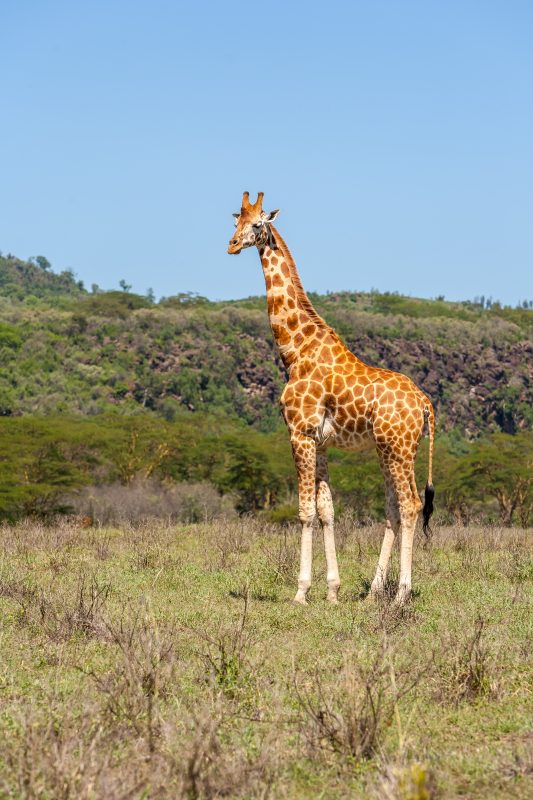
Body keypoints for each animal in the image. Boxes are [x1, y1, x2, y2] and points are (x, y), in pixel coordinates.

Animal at [227, 194, 434, 608]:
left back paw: (401, 595)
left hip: (398, 448)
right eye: (235, 220)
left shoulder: (299, 433)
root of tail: (424, 404)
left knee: (410, 505)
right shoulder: (320, 441)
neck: (294, 350)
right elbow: (327, 510)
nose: (232, 244)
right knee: (393, 507)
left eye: (258, 224)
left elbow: (305, 511)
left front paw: (301, 591)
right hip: (390, 449)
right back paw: (373, 593)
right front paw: (333, 591)